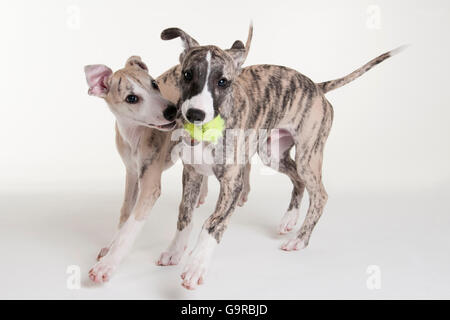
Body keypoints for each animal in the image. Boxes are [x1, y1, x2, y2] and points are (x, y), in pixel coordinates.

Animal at [161, 25, 404, 290]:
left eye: (223, 82)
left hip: (309, 155)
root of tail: (317, 86)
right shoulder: (192, 173)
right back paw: (290, 218)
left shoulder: (232, 184)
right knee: (297, 179)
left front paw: (196, 265)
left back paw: (300, 239)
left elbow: (212, 223)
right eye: (187, 75)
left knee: (319, 194)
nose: (195, 114)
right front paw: (174, 251)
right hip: (272, 154)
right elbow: (184, 215)